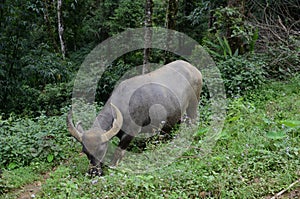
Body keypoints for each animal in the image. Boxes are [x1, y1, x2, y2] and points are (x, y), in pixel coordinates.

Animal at [67, 59, 203, 176]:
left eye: (100, 150)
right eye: (85, 151)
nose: (93, 172)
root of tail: (194, 69)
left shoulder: (130, 133)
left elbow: (118, 152)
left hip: (193, 106)